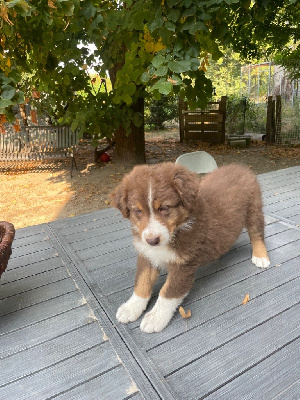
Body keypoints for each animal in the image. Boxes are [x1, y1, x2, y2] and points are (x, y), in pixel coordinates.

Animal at [109, 162, 270, 334]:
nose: (152, 240)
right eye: (137, 211)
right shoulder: (147, 255)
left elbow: (168, 292)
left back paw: (261, 256)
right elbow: (142, 282)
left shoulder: (183, 264)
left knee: (257, 233)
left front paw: (156, 317)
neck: (177, 230)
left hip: (254, 209)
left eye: (164, 208)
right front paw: (131, 307)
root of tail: (239, 166)